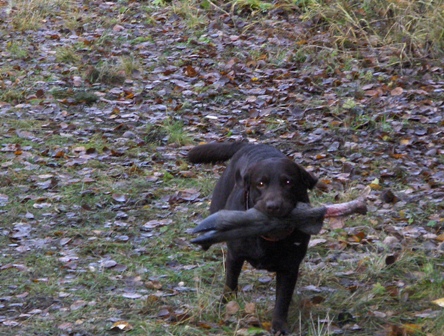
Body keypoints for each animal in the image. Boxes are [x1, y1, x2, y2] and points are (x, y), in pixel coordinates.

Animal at [189, 141, 318, 334]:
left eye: (288, 182)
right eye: (261, 183)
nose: (273, 206)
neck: (269, 236)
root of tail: (249, 144)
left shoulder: (290, 267)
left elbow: (282, 300)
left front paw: (279, 326)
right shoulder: (235, 255)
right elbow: (230, 282)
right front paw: (225, 305)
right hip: (217, 203)